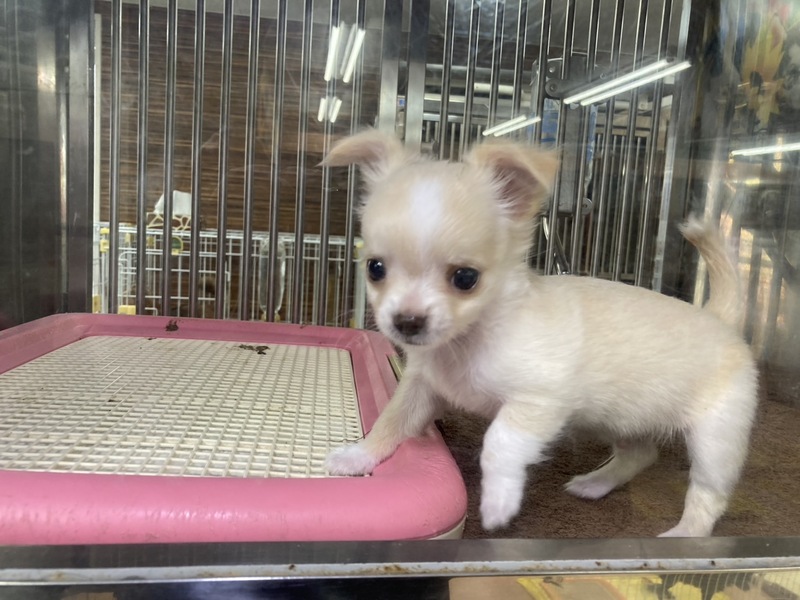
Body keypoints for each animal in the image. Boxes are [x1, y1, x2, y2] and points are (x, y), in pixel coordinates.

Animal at [323, 130, 758, 537]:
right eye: (375, 268)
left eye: (465, 278)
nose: (407, 322)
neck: (468, 341)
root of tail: (719, 316)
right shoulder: (421, 387)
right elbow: (391, 421)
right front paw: (358, 455)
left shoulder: (539, 401)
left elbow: (498, 443)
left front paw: (498, 503)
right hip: (615, 419)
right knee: (640, 454)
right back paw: (595, 483)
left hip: (716, 438)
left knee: (709, 491)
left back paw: (687, 533)